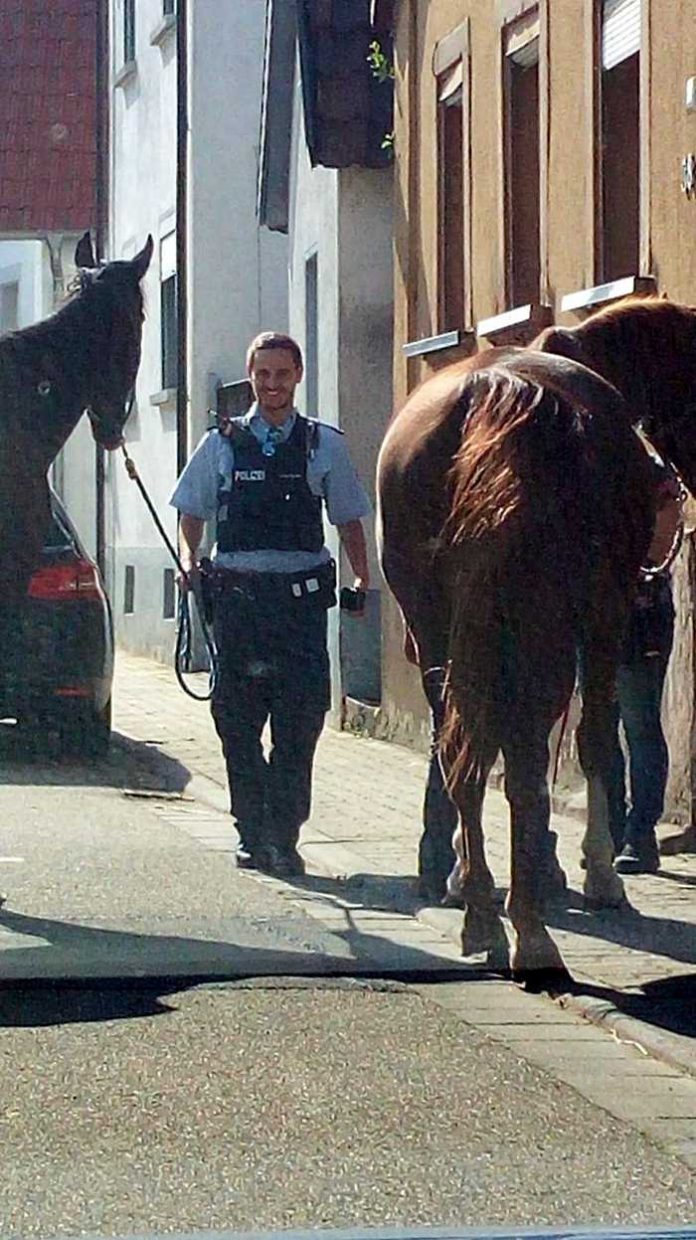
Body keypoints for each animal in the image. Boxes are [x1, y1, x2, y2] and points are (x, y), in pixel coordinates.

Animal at [377, 295, 694, 982]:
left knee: (461, 751)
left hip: (440, 630)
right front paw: (599, 873)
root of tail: (495, 389)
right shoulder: (602, 618)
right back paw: (527, 932)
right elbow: (594, 740)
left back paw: (479, 912)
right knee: (521, 755)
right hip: (542, 625)